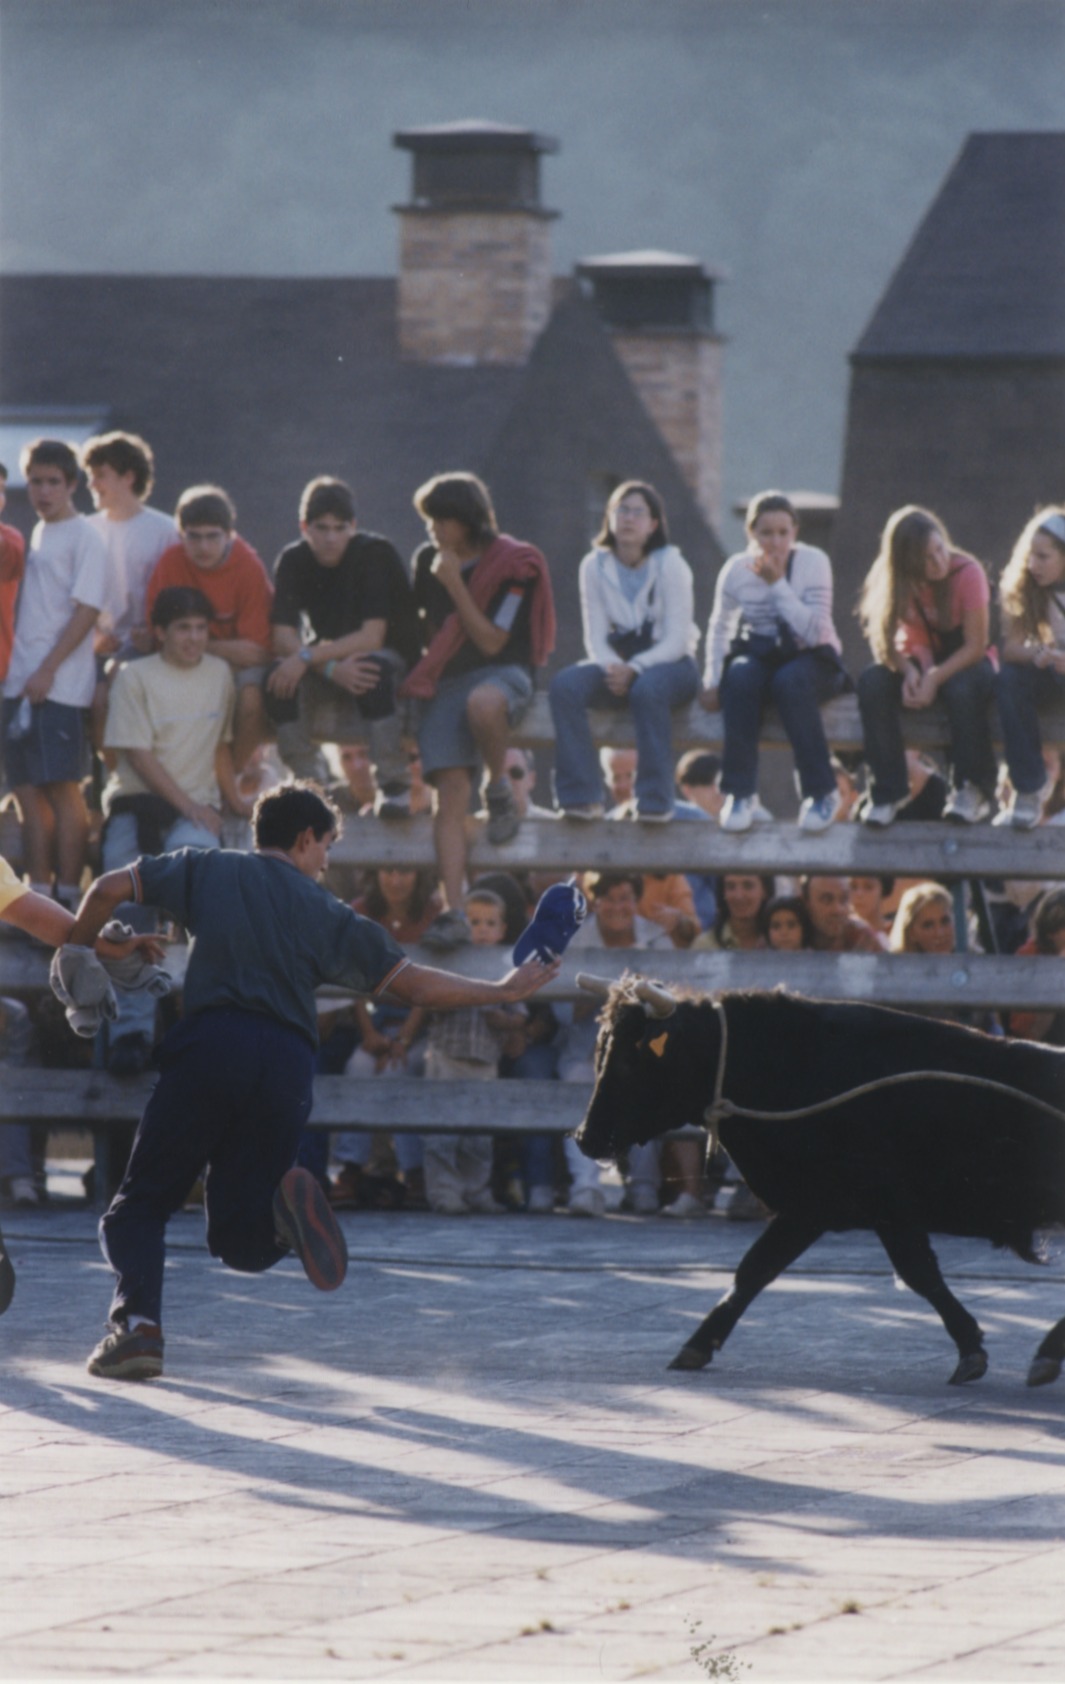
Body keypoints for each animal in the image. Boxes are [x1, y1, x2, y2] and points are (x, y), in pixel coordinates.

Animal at [574, 975, 1065, 1387]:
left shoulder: (859, 1208)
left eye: (631, 1059)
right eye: (601, 1050)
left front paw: (970, 1350)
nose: (585, 1137)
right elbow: (756, 1270)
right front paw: (697, 1345)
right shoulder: (822, 1209)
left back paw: (1046, 1356)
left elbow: (915, 1273)